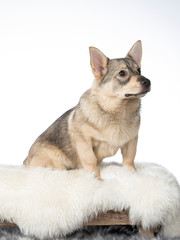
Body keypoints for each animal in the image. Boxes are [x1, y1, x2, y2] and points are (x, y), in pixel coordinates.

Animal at [23, 40, 150, 179]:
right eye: (122, 73)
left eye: (139, 70)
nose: (147, 82)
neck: (119, 111)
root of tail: (26, 161)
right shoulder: (84, 142)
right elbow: (90, 161)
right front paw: (97, 179)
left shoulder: (131, 141)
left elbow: (129, 159)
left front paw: (133, 174)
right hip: (57, 162)